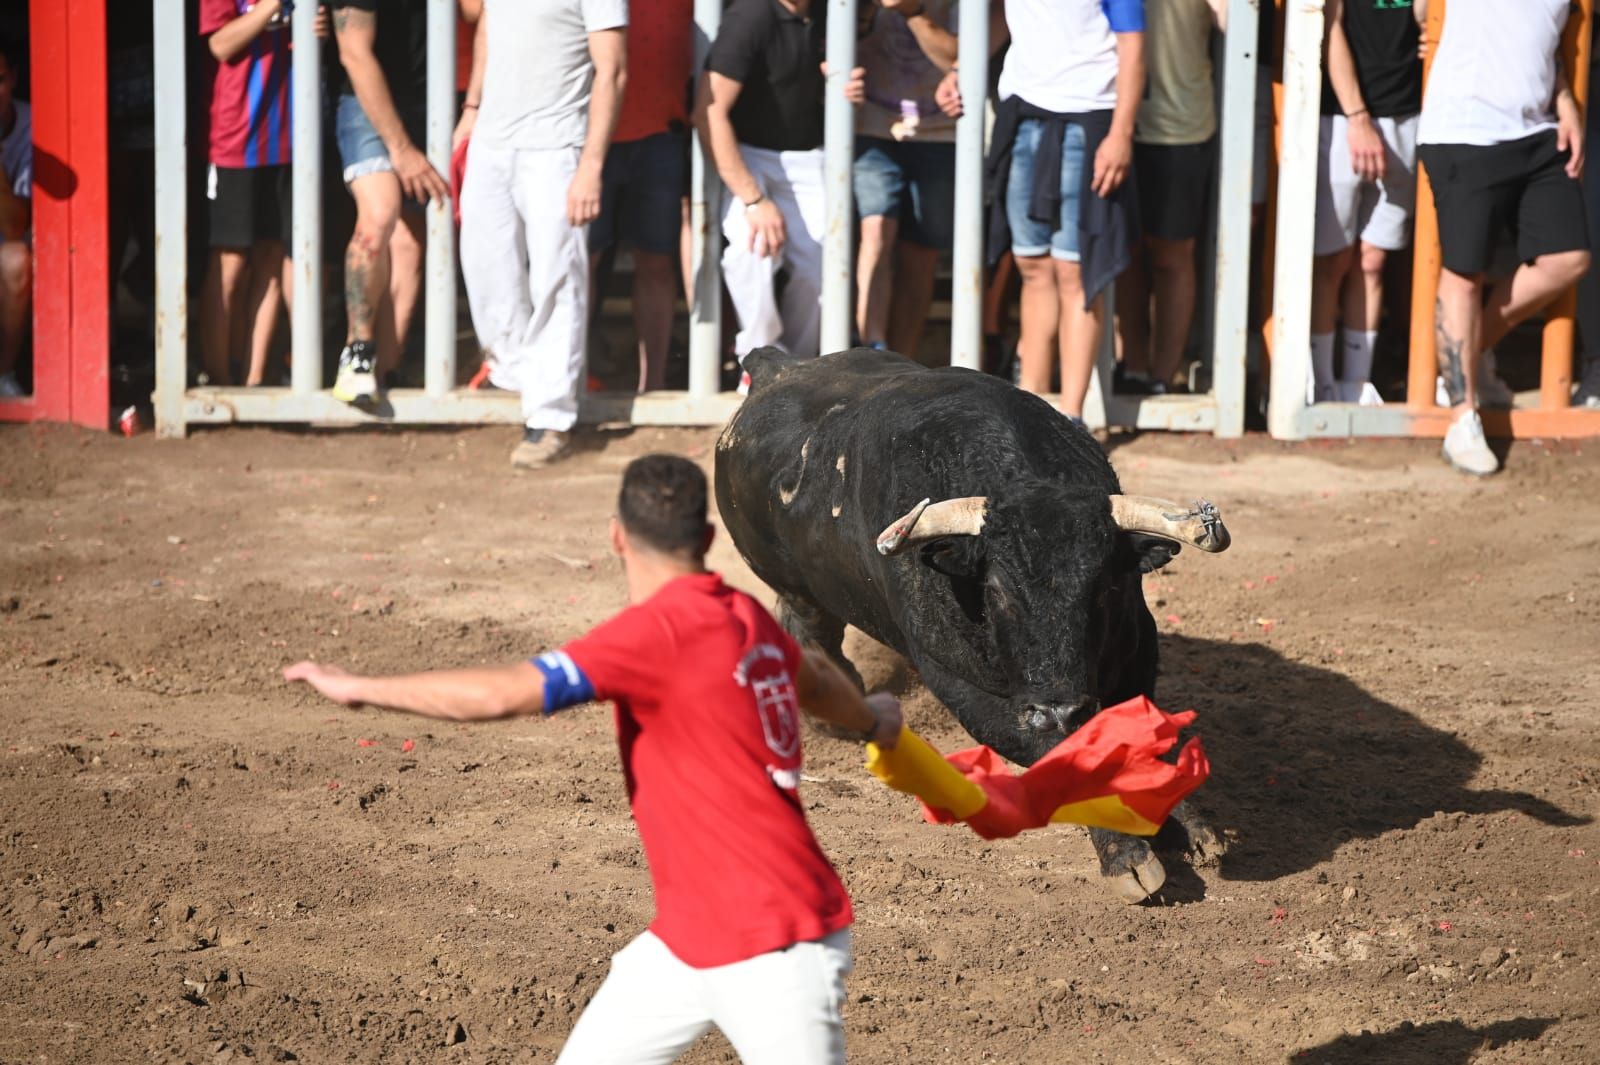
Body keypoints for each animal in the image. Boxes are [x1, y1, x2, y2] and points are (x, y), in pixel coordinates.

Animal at [720, 348, 1228, 895]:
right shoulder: (966, 689)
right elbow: (1067, 754)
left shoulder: (1136, 653)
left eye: (1105, 589)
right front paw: (1127, 856)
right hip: (799, 589)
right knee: (812, 633)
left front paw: (1189, 822)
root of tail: (775, 366)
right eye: (997, 590)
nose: (1058, 710)